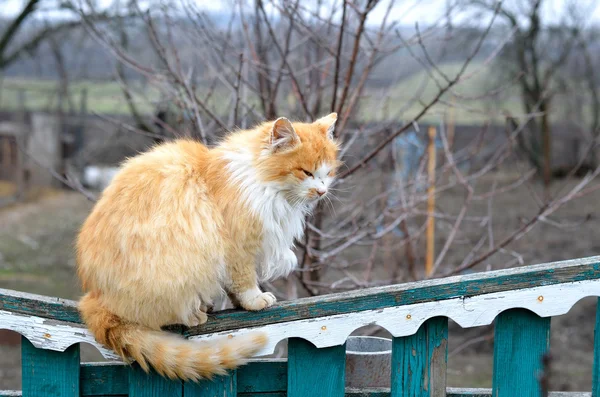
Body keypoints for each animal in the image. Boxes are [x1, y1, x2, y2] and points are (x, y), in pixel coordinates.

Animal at [76, 113, 338, 378]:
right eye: (306, 172)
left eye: (328, 173)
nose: (321, 191)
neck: (262, 183)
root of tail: (94, 296)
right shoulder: (236, 247)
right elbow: (244, 281)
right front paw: (255, 301)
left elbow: (234, 287)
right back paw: (194, 315)